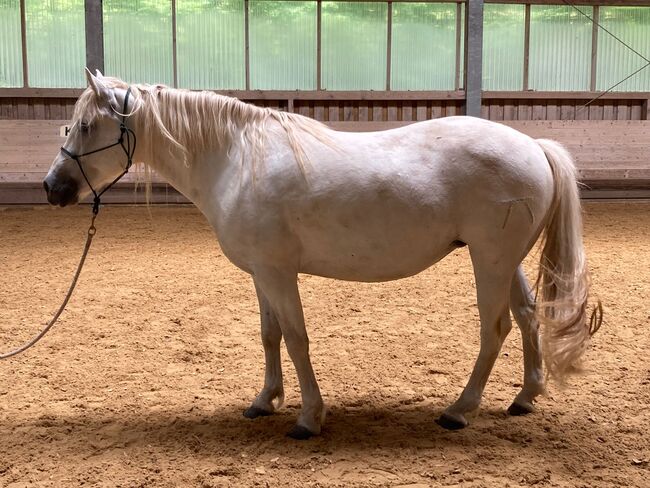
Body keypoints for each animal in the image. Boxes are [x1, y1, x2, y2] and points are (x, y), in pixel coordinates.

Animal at [43, 71, 596, 438]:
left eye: (86, 126)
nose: (53, 188)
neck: (235, 158)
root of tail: (534, 145)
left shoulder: (279, 273)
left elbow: (296, 339)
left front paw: (309, 417)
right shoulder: (261, 274)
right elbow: (269, 336)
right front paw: (264, 401)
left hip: (490, 260)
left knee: (495, 327)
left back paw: (460, 409)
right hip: (506, 261)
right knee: (527, 316)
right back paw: (524, 398)